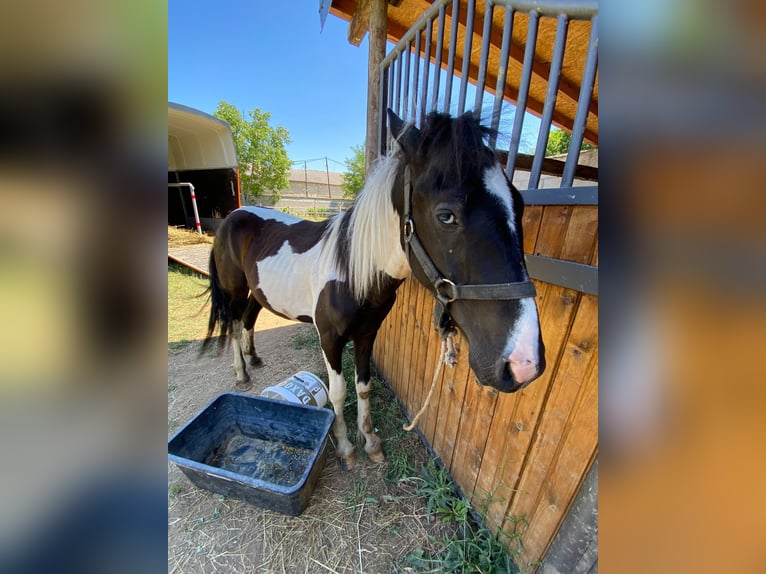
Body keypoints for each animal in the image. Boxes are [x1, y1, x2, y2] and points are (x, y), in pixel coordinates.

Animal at [201, 110, 544, 470]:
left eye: (519, 205)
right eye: (446, 215)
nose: (524, 362)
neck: (351, 273)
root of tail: (232, 215)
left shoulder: (367, 334)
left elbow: (363, 387)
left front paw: (370, 443)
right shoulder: (329, 339)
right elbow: (338, 393)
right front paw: (345, 448)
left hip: (258, 292)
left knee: (249, 320)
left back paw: (254, 359)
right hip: (235, 289)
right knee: (234, 325)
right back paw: (242, 373)